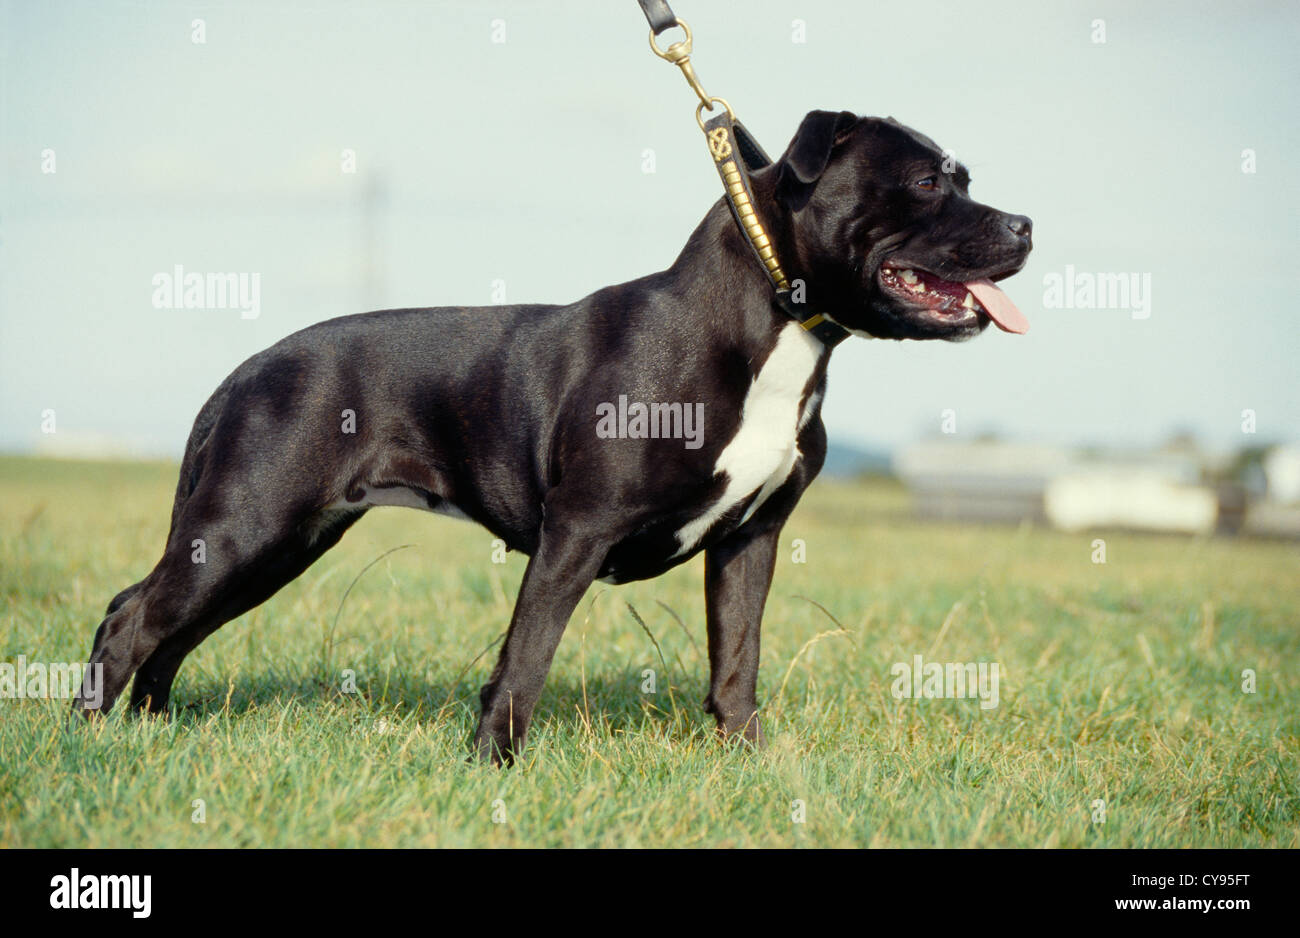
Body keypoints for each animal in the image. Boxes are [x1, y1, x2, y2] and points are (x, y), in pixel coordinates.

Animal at [76, 113, 1034, 763]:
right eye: (926, 184)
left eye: (966, 179)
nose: (1025, 225)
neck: (775, 323)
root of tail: (245, 369)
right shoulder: (578, 528)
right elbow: (526, 656)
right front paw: (491, 766)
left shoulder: (752, 539)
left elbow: (737, 659)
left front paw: (747, 762)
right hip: (246, 526)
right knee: (134, 618)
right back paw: (91, 739)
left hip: (276, 543)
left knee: (168, 627)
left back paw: (149, 732)